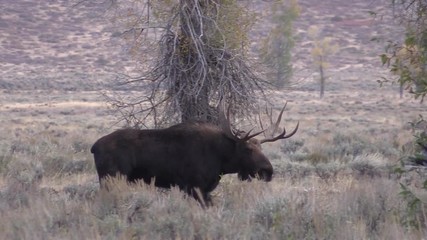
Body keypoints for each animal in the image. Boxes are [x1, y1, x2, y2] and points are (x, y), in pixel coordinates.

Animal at [91, 102, 298, 205]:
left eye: (261, 148)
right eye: (248, 149)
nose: (268, 171)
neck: (221, 160)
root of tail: (94, 147)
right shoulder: (193, 187)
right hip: (111, 178)